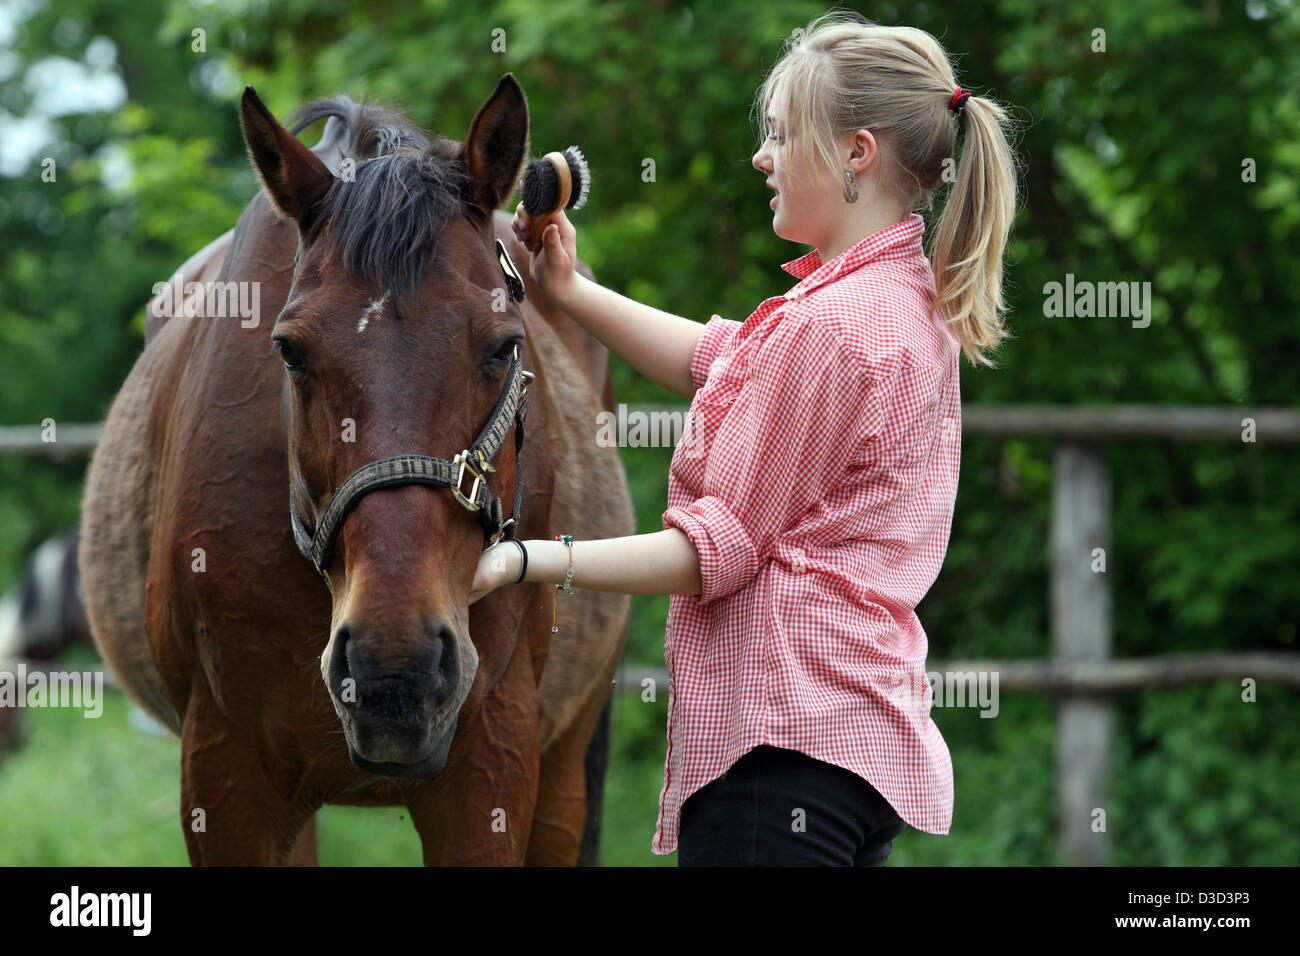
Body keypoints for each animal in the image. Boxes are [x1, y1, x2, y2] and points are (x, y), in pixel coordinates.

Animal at [76, 76, 634, 868]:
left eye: (504, 347)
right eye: (289, 351)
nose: (394, 672)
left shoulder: (493, 763)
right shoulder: (225, 774)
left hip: (564, 769)